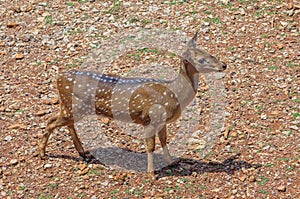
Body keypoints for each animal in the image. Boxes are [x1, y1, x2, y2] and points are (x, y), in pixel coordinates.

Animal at [38, 33, 226, 176]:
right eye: (201, 60)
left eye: (209, 53)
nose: (223, 65)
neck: (173, 92)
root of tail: (59, 77)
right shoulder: (150, 118)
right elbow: (150, 146)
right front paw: (151, 174)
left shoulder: (162, 122)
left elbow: (164, 140)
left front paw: (171, 162)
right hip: (74, 107)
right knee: (51, 122)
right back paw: (42, 154)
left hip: (69, 107)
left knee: (62, 122)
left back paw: (82, 152)